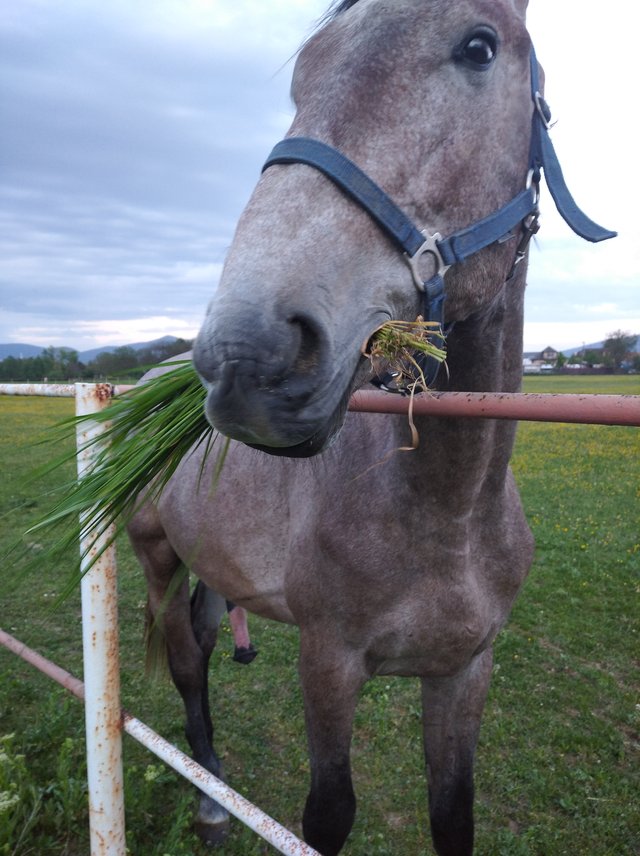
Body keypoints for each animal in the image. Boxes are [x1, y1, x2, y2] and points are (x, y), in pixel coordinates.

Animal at [126, 3, 616, 852]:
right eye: (302, 79)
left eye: (479, 47)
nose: (244, 355)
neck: (445, 512)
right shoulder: (329, 662)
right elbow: (326, 814)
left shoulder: (464, 671)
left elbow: (454, 812)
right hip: (158, 556)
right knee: (186, 661)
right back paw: (212, 799)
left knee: (205, 641)